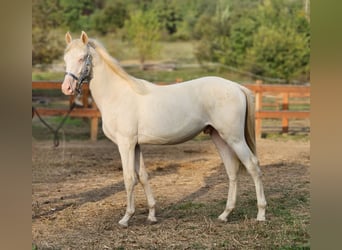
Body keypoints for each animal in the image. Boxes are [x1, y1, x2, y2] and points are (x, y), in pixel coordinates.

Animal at [61, 31, 266, 227]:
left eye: (82, 57)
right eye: (65, 58)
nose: (67, 88)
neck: (118, 95)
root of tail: (237, 87)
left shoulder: (125, 144)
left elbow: (129, 178)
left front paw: (126, 218)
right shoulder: (136, 145)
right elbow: (143, 176)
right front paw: (151, 215)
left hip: (234, 138)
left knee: (253, 166)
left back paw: (261, 214)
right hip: (219, 138)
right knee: (232, 171)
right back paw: (225, 215)